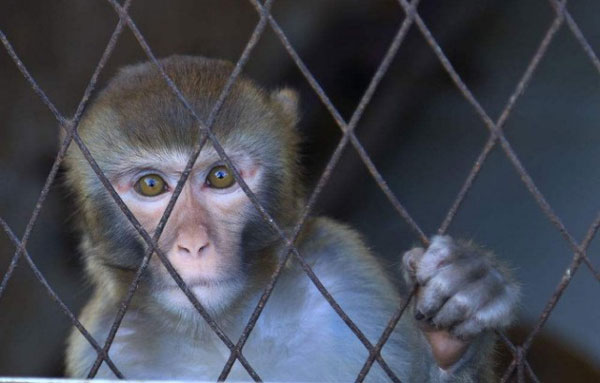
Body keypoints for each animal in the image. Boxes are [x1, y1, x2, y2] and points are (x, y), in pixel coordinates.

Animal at [63, 55, 516, 382]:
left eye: (220, 176)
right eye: (152, 185)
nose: (192, 244)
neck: (222, 331)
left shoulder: (344, 269)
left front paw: (457, 315)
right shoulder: (101, 345)